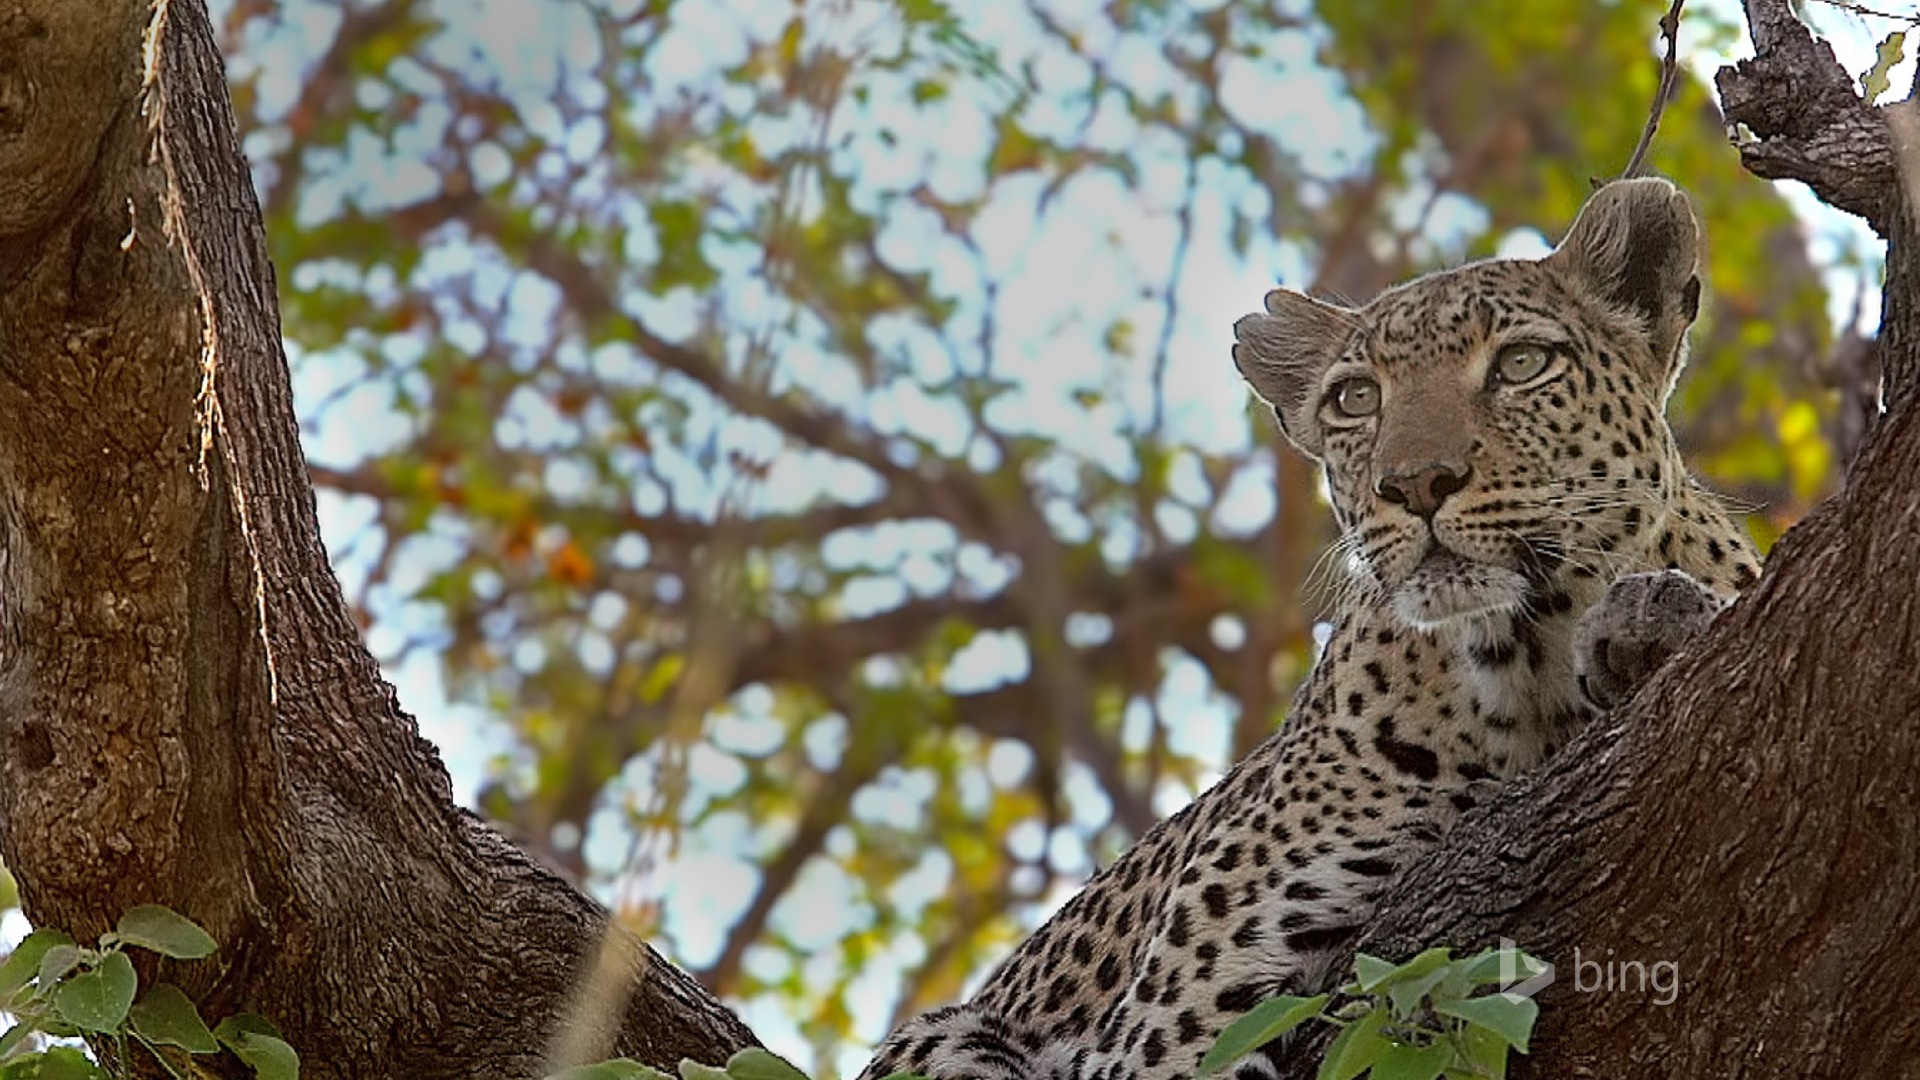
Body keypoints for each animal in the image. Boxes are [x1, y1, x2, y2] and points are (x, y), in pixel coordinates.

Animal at [864, 178, 1758, 1076]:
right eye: (1356, 400)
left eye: (1521, 365)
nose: (1417, 483)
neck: (1524, 663)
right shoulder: (1186, 1005)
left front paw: (1646, 622)